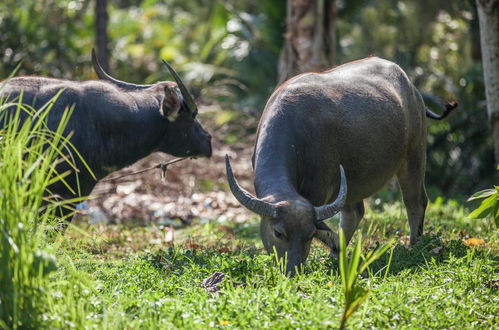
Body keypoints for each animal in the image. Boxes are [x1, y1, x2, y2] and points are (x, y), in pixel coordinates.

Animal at [227, 57, 458, 276]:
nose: (292, 271)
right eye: (278, 233)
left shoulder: (317, 192)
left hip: (414, 155)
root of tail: (412, 88)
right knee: (354, 213)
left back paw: (414, 245)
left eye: (309, 235)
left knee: (415, 202)